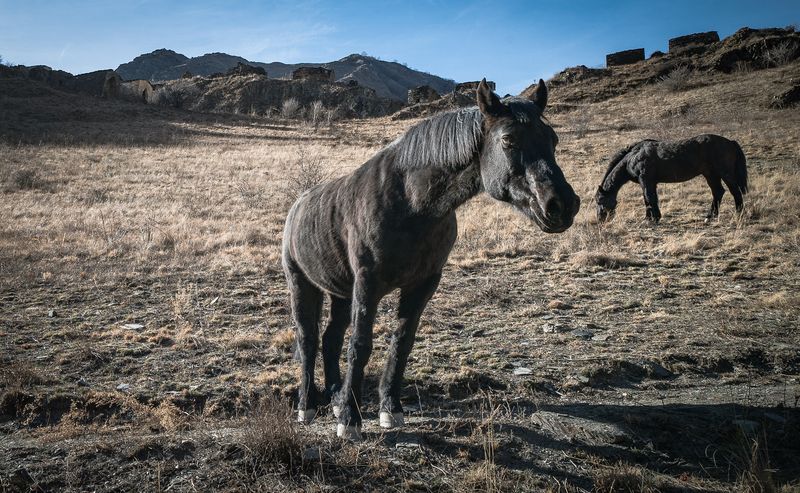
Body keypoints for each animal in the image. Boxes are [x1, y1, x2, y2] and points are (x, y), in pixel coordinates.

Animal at [282, 79, 580, 440]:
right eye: (509, 139)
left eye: (552, 139)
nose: (561, 204)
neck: (411, 203)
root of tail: (298, 205)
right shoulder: (368, 283)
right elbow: (360, 345)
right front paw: (350, 422)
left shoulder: (422, 283)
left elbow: (402, 343)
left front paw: (389, 410)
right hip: (302, 283)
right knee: (308, 339)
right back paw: (307, 406)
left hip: (340, 292)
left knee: (329, 339)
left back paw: (336, 399)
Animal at [594, 134, 748, 223]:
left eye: (600, 200)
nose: (600, 219)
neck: (632, 156)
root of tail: (730, 142)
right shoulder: (646, 182)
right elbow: (647, 199)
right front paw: (648, 217)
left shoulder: (646, 181)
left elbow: (650, 198)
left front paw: (653, 219)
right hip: (710, 174)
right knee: (718, 192)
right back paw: (710, 216)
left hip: (725, 173)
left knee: (735, 192)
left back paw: (739, 215)